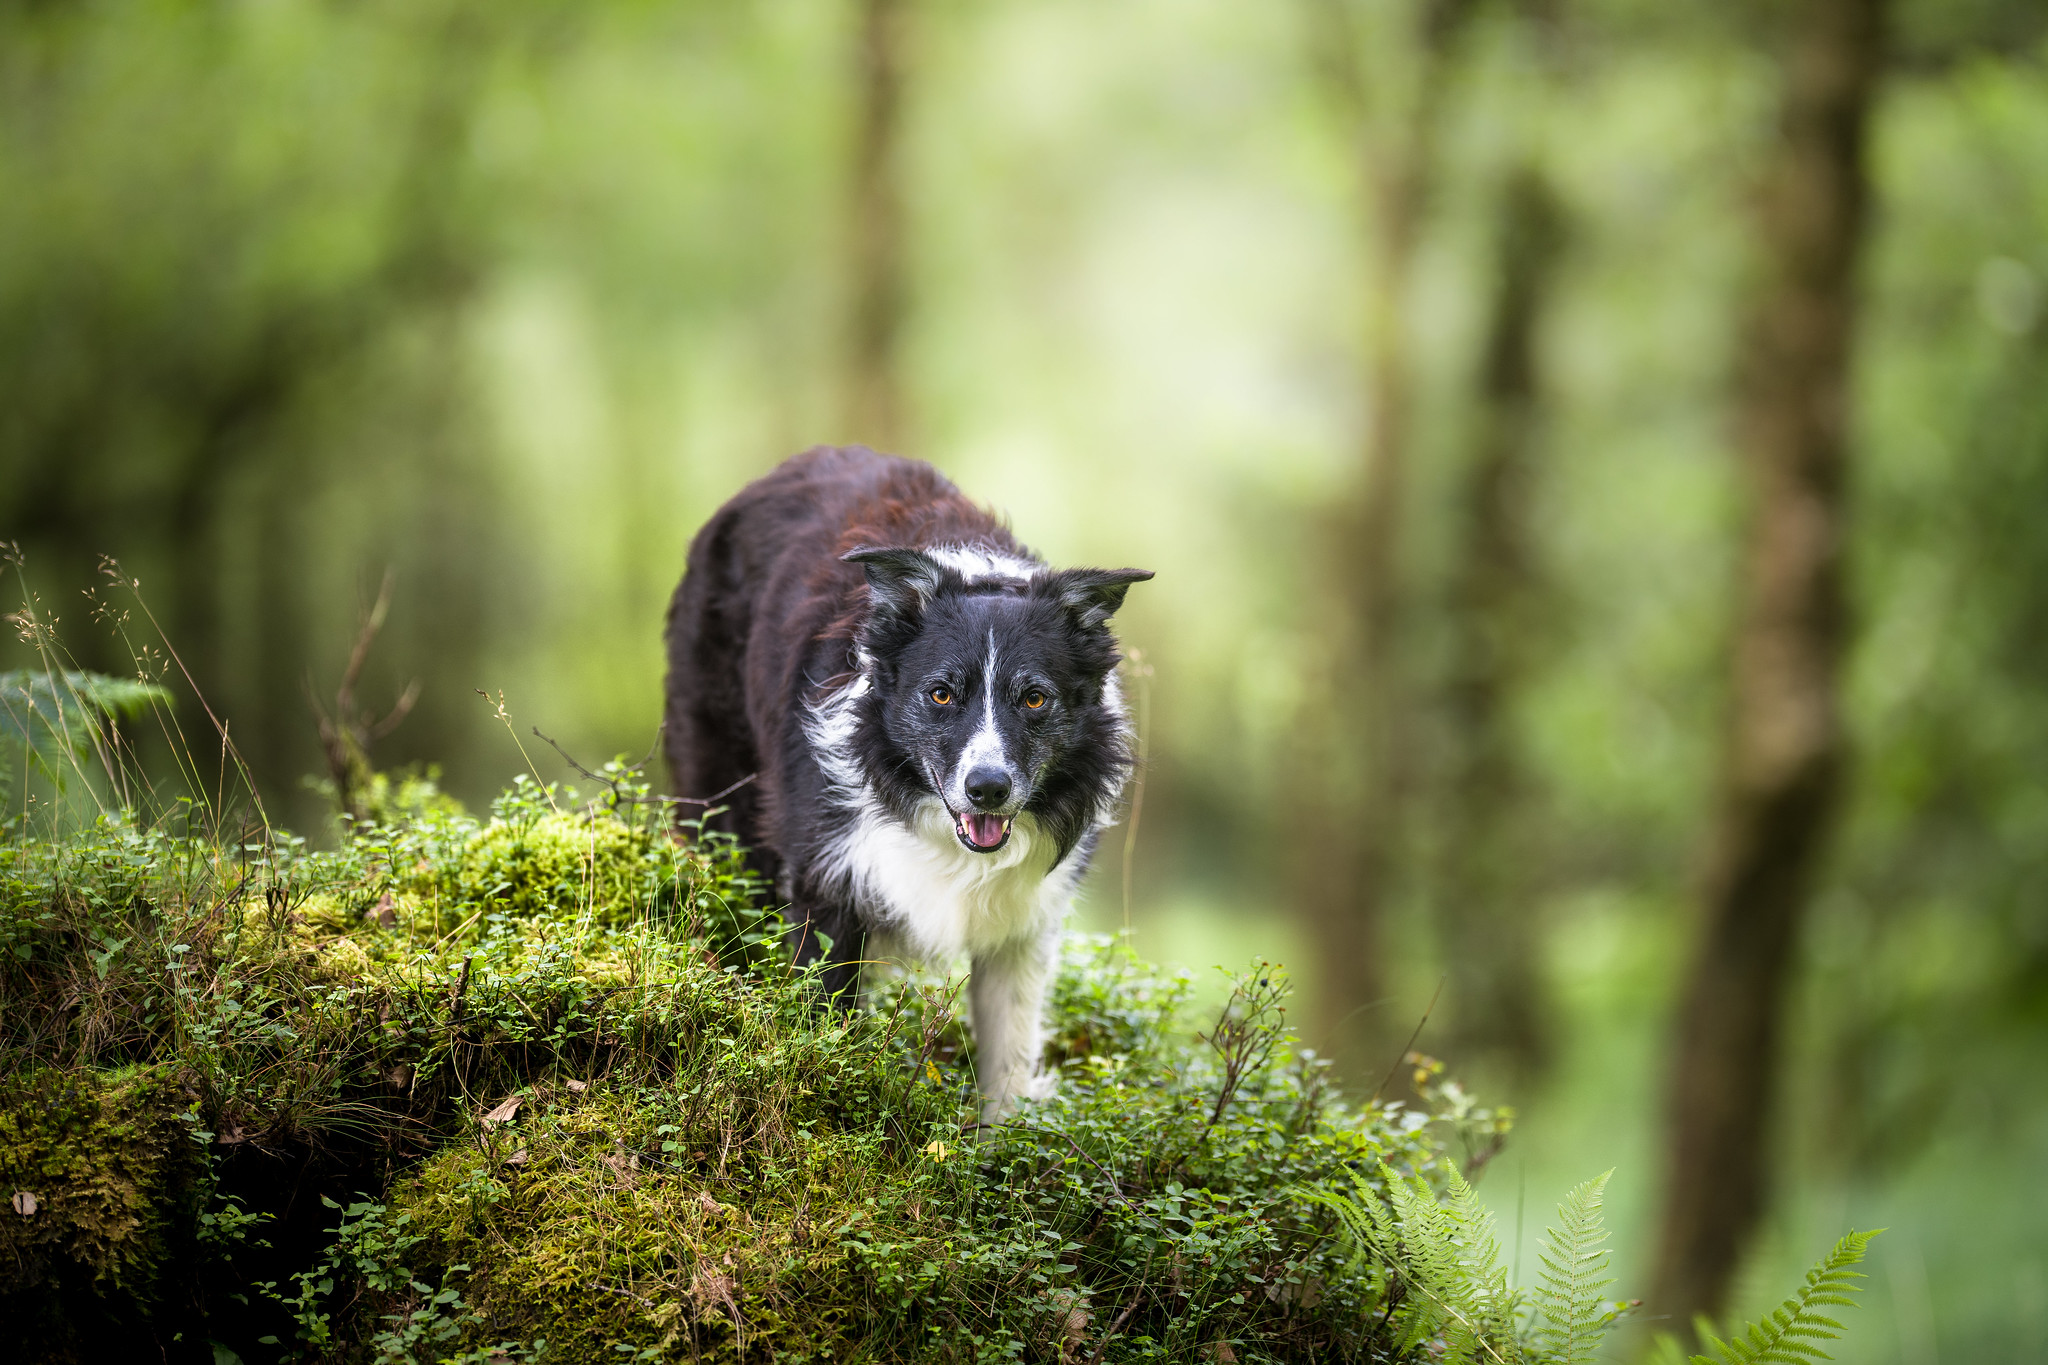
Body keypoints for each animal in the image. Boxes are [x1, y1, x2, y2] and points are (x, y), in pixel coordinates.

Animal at [667, 448, 1155, 1121]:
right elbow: (821, 1018)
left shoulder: (1025, 923)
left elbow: (1008, 1059)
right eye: (941, 693)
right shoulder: (829, 880)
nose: (988, 789)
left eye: (1034, 699)